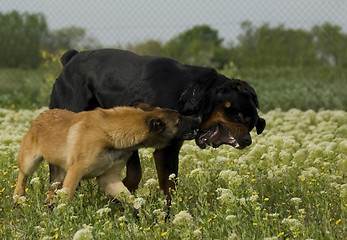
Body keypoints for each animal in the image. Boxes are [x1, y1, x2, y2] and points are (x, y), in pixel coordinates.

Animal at [12, 103, 200, 206]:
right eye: (179, 120)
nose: (198, 119)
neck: (110, 135)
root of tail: (41, 115)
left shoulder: (108, 177)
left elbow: (130, 199)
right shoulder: (76, 172)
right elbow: (67, 197)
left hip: (61, 173)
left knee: (52, 188)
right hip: (30, 162)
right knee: (23, 176)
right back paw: (18, 198)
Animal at [49, 49, 266, 203]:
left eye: (251, 123)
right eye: (240, 114)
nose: (247, 140)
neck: (190, 93)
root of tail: (70, 59)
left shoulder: (169, 149)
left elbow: (169, 186)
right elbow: (134, 175)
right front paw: (119, 197)